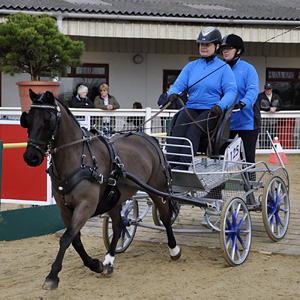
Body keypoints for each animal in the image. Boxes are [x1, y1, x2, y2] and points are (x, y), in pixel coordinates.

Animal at [21, 90, 180, 290]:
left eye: (47, 120)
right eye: (28, 119)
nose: (30, 157)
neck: (79, 159)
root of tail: (150, 139)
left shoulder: (85, 206)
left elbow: (66, 238)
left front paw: (52, 276)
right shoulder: (64, 209)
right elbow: (75, 239)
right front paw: (95, 264)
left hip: (157, 190)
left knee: (165, 217)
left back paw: (174, 249)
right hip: (114, 198)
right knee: (119, 226)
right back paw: (109, 261)